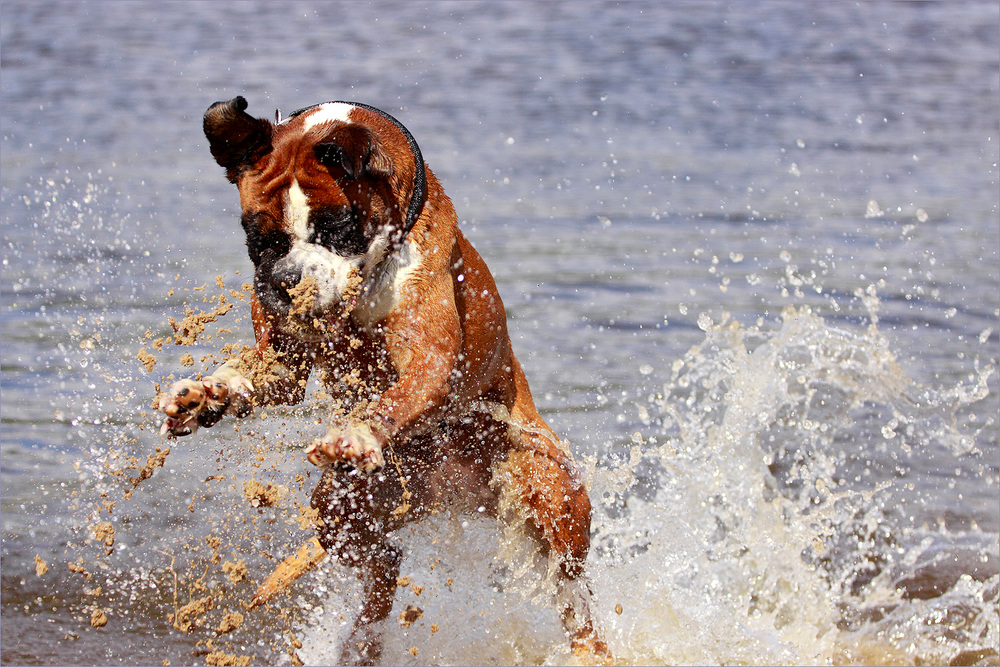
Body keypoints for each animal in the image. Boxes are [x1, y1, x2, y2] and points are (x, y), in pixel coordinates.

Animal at [158, 96, 608, 664]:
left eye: (336, 228)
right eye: (260, 241)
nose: (287, 281)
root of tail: (454, 492)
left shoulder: (433, 358)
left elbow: (398, 395)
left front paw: (357, 433)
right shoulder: (283, 366)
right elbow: (255, 376)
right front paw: (202, 396)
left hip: (553, 500)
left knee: (570, 591)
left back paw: (590, 646)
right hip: (340, 510)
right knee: (384, 563)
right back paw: (361, 641)